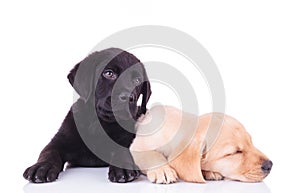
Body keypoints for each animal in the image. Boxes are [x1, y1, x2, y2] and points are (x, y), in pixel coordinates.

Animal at [22, 47, 152, 183]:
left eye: (137, 80)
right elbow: (48, 152)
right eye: (109, 73)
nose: (129, 98)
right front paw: (41, 167)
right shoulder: (58, 141)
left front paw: (123, 166)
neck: (98, 124)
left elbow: (122, 150)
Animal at [130, 106, 274, 183]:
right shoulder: (137, 146)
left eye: (250, 142)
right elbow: (150, 154)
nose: (269, 165)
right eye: (235, 152)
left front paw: (210, 172)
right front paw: (162, 170)